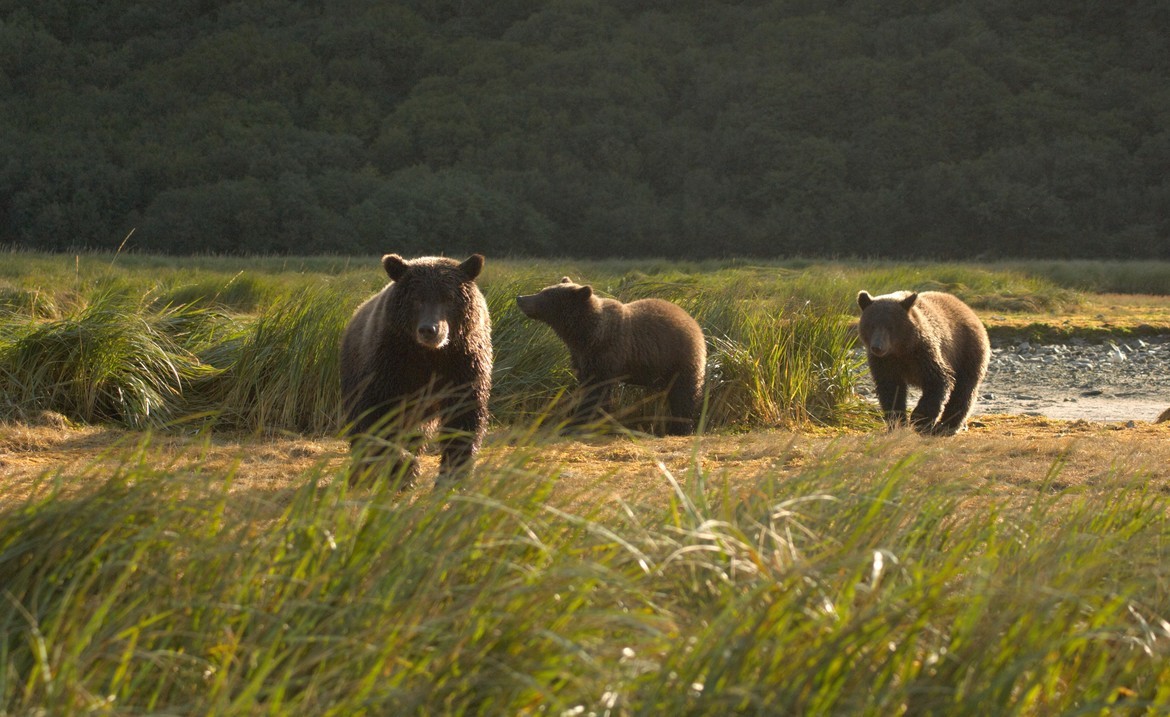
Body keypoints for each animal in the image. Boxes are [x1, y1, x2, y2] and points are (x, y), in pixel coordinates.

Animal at [340, 253, 492, 486]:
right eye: (416, 298)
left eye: (448, 297)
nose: (429, 329)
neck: (429, 354)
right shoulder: (391, 362)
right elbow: (379, 416)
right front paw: (404, 467)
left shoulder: (462, 362)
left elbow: (463, 417)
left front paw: (452, 476)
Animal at [516, 277, 706, 435]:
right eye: (544, 290)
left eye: (545, 295)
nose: (520, 298)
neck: (584, 333)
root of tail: (693, 321)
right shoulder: (581, 356)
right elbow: (585, 385)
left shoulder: (606, 352)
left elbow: (596, 390)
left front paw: (584, 421)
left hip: (678, 357)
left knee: (684, 394)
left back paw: (681, 428)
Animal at [856, 290, 990, 436]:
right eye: (871, 325)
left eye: (890, 326)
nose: (877, 347)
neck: (901, 350)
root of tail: (969, 310)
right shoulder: (884, 362)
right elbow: (890, 389)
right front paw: (897, 423)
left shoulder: (924, 353)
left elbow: (939, 380)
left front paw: (919, 420)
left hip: (967, 352)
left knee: (964, 389)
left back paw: (948, 426)